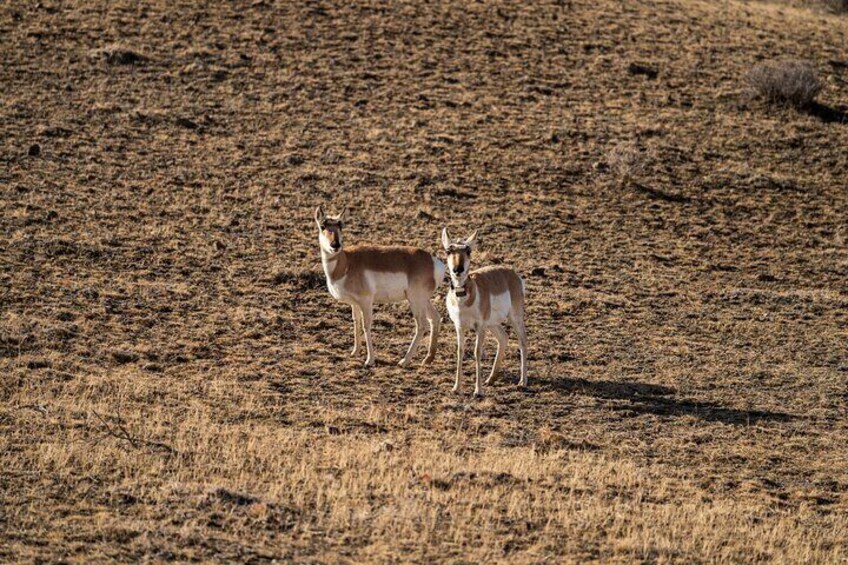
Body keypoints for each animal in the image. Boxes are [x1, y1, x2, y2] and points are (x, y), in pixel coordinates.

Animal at [314, 206, 448, 366]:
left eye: (340, 225)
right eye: (323, 226)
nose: (335, 245)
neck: (346, 263)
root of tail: (433, 261)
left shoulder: (366, 301)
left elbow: (366, 325)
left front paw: (369, 360)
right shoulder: (354, 303)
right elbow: (356, 322)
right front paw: (355, 352)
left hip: (415, 300)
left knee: (422, 325)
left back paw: (404, 360)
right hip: (422, 300)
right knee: (435, 318)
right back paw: (428, 359)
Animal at [440, 227, 528, 394]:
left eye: (468, 250)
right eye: (449, 250)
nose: (458, 269)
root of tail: (512, 273)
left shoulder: (479, 327)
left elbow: (477, 352)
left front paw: (478, 391)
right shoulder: (459, 327)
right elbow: (460, 351)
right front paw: (456, 388)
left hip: (514, 317)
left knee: (522, 341)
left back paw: (522, 382)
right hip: (492, 324)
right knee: (503, 337)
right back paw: (491, 379)